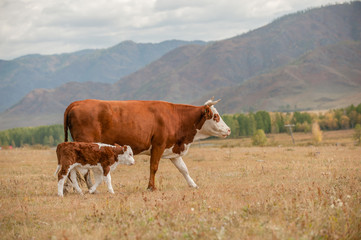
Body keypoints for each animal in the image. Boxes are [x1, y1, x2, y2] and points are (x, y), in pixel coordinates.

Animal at [63, 96, 229, 190]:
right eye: (216, 116)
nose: (228, 130)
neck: (176, 117)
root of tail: (77, 103)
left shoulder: (173, 149)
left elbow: (183, 169)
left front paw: (193, 185)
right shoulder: (158, 145)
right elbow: (153, 167)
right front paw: (151, 187)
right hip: (86, 144)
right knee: (81, 169)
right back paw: (90, 188)